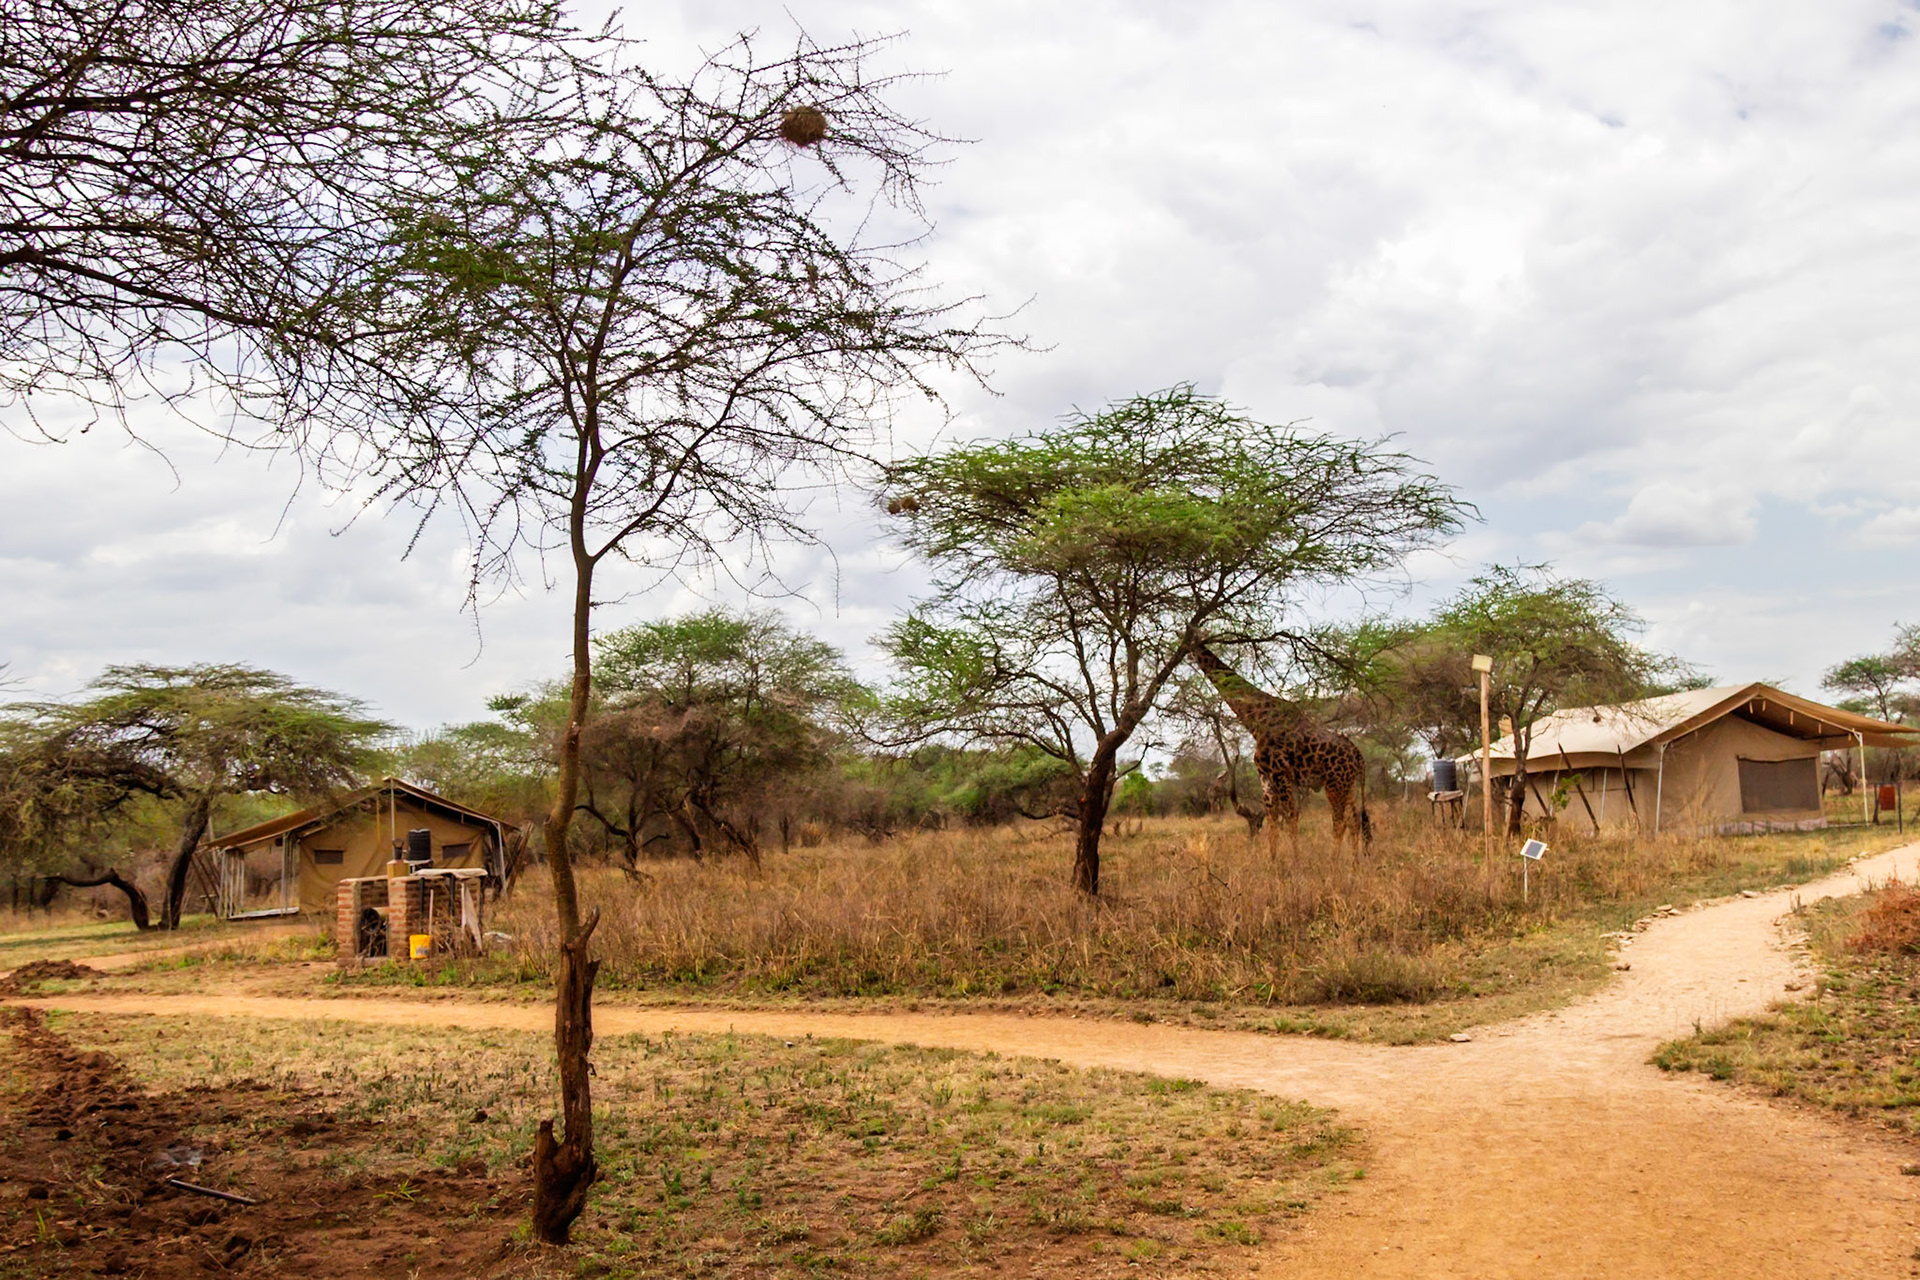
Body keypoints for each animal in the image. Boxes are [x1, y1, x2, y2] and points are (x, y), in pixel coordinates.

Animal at [1188, 642, 1371, 858]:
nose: (1186, 651)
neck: (1255, 720)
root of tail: (1358, 756)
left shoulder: (1281, 773)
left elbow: (1291, 817)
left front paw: (1296, 862)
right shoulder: (1266, 777)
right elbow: (1273, 823)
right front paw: (1273, 862)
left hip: (1335, 784)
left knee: (1340, 822)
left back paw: (1334, 862)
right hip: (1348, 785)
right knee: (1354, 821)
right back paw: (1354, 863)